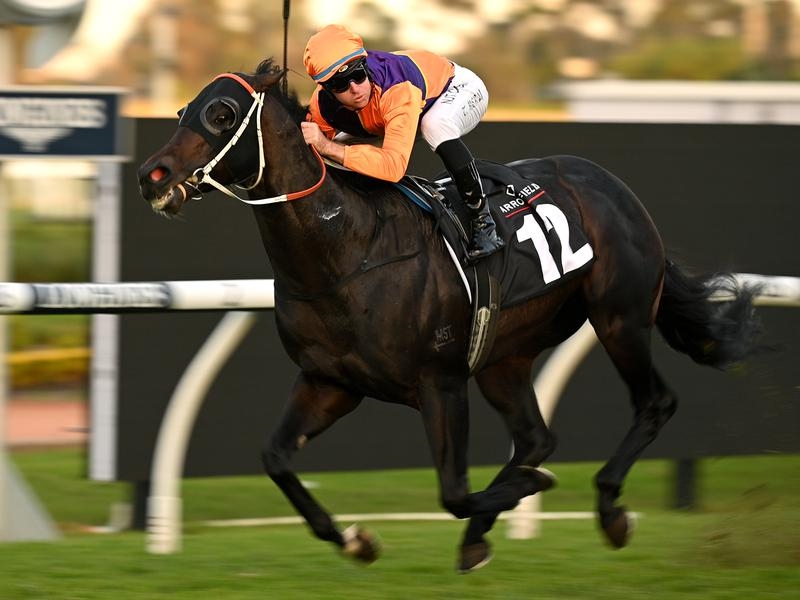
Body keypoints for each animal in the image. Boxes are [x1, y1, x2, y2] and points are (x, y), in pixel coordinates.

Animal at [137, 59, 761, 572]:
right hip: (505, 357)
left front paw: (525, 493)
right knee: (536, 438)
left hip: (619, 318)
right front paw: (356, 540)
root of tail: (615, 186)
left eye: (221, 114)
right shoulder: (329, 381)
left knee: (653, 402)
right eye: (182, 110)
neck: (348, 251)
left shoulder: (440, 381)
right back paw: (488, 529)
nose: (152, 176)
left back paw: (608, 508)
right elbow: (275, 458)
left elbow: (454, 492)